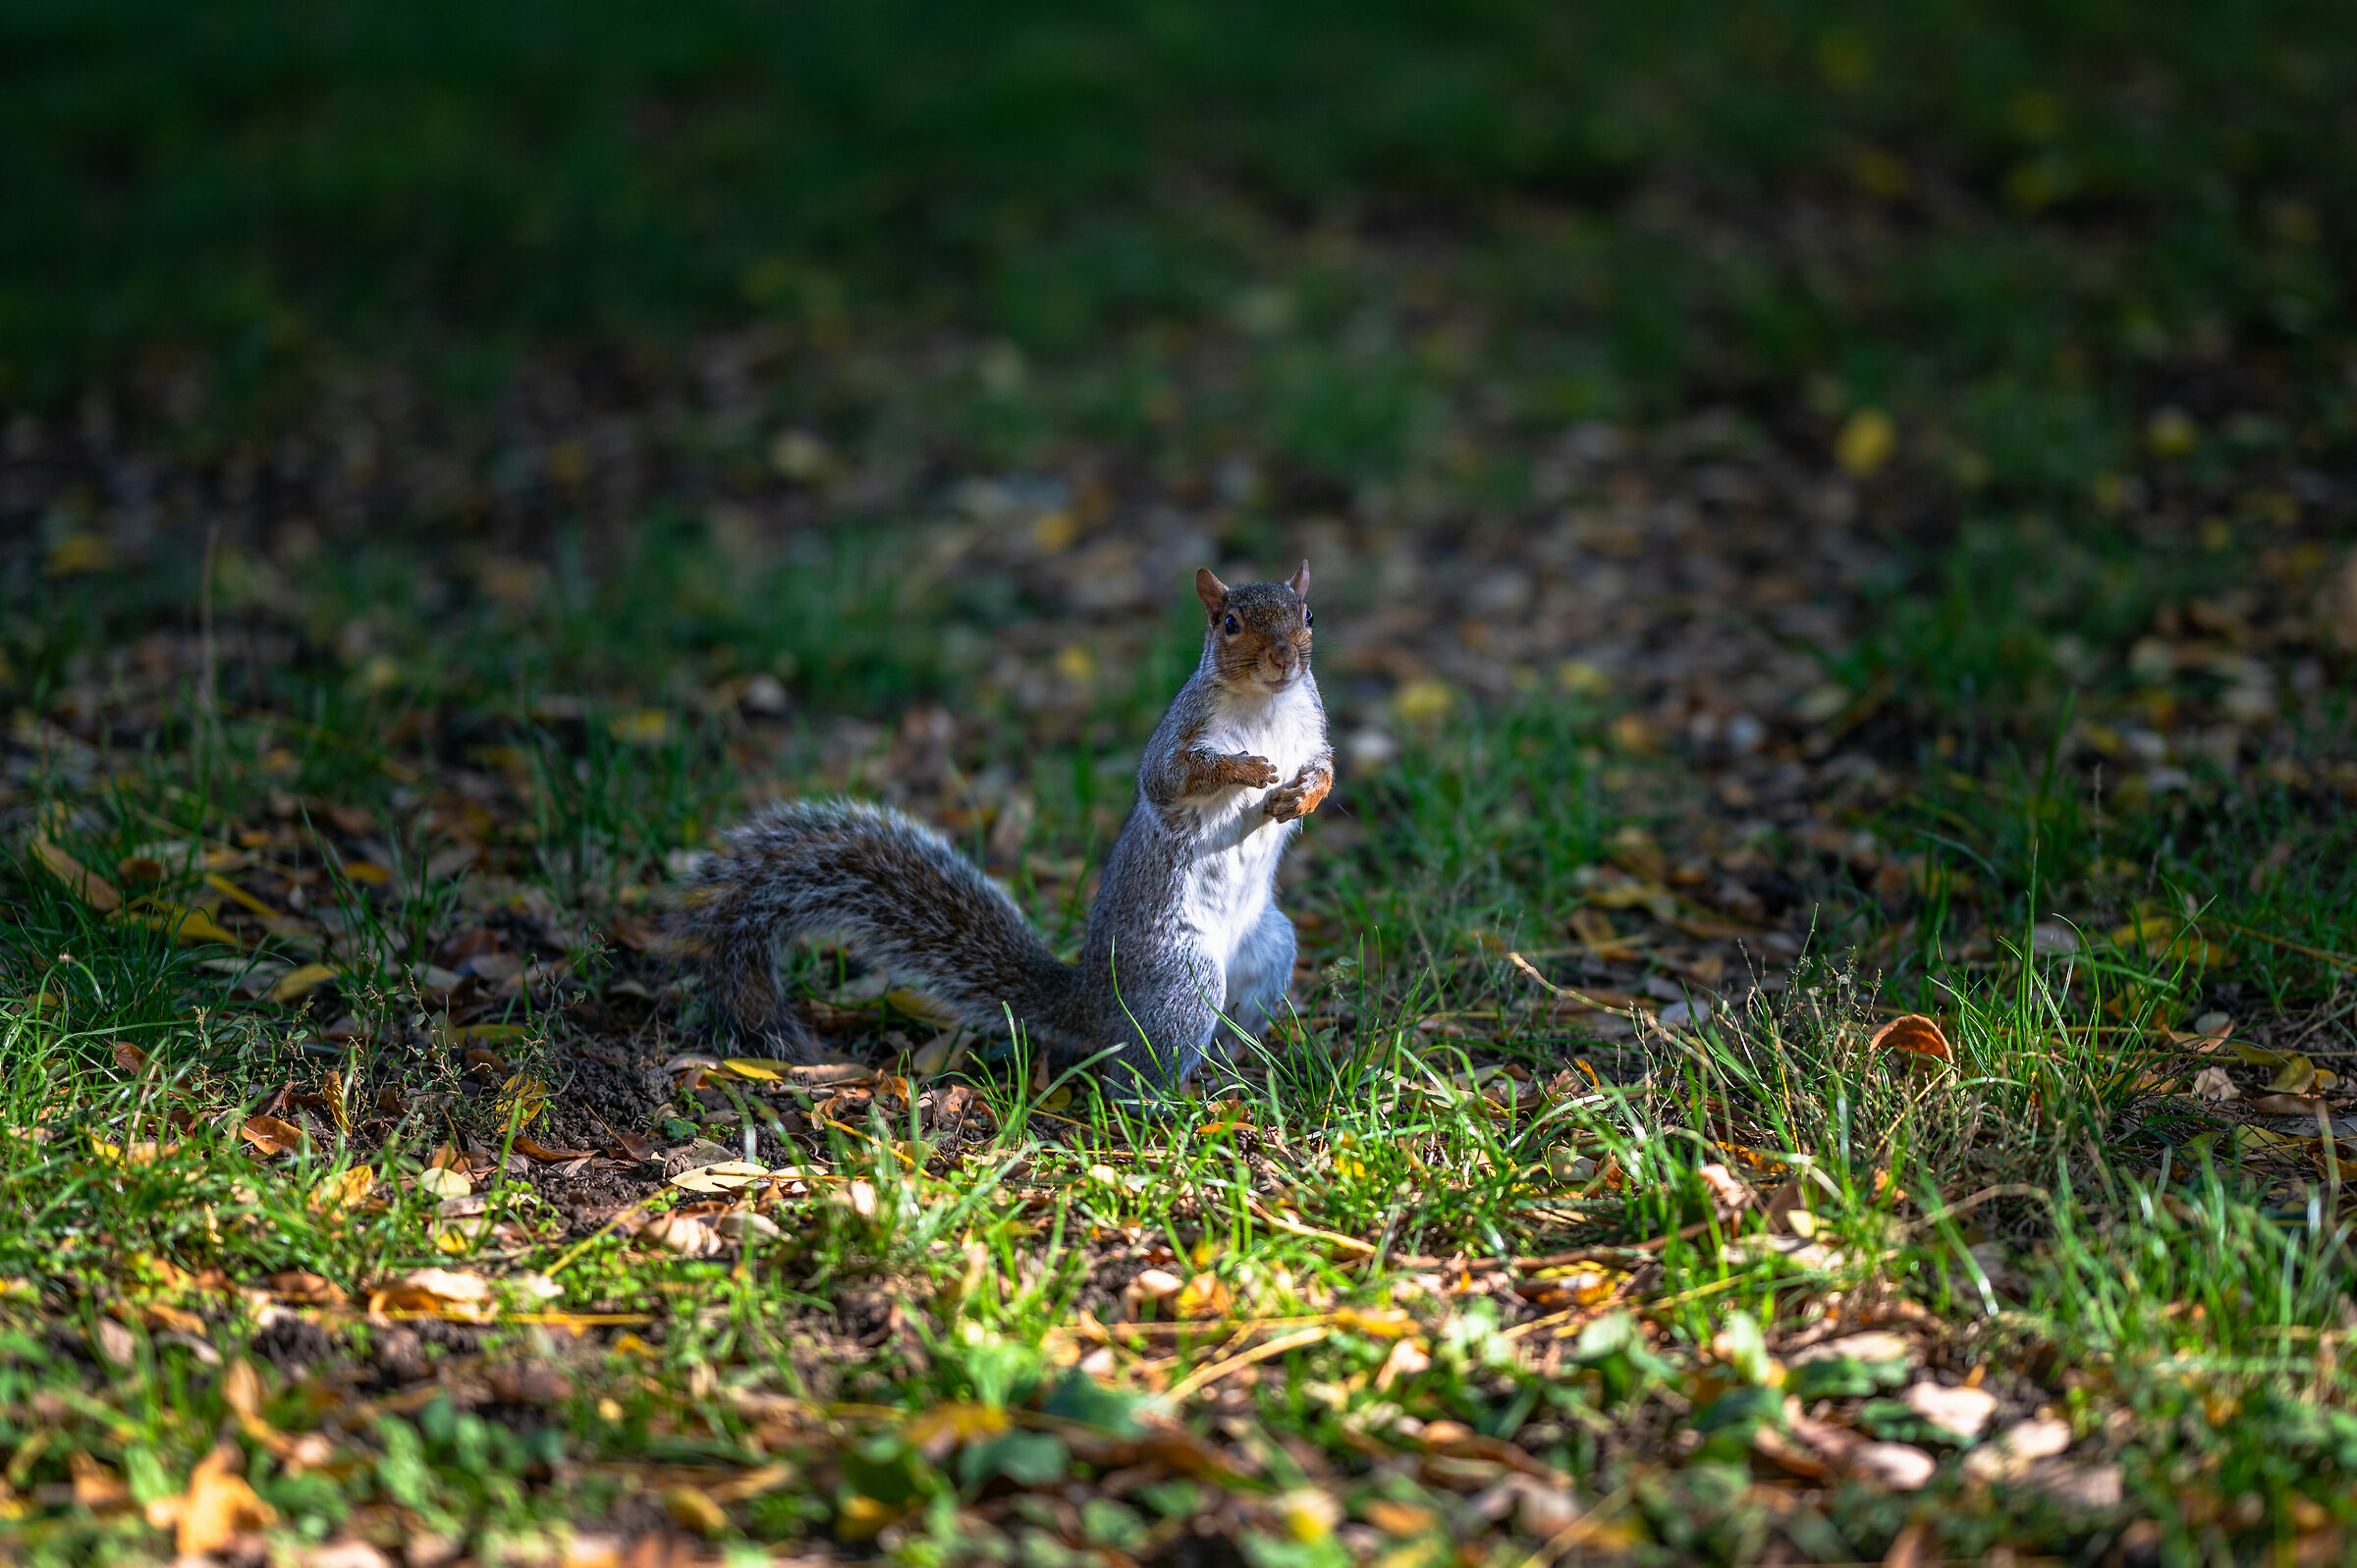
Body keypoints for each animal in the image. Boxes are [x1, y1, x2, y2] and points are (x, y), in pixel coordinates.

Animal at [675, 561, 1333, 1097]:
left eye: (1307, 615)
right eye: (1230, 623)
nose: (1283, 659)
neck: (1265, 704)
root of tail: (1091, 1003)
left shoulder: (1313, 730)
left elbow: (1325, 770)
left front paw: (1302, 796)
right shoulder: (1181, 733)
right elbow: (1169, 779)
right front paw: (1245, 769)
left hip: (1269, 952)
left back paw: (1237, 1066)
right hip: (1180, 978)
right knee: (1133, 1074)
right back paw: (1166, 1109)